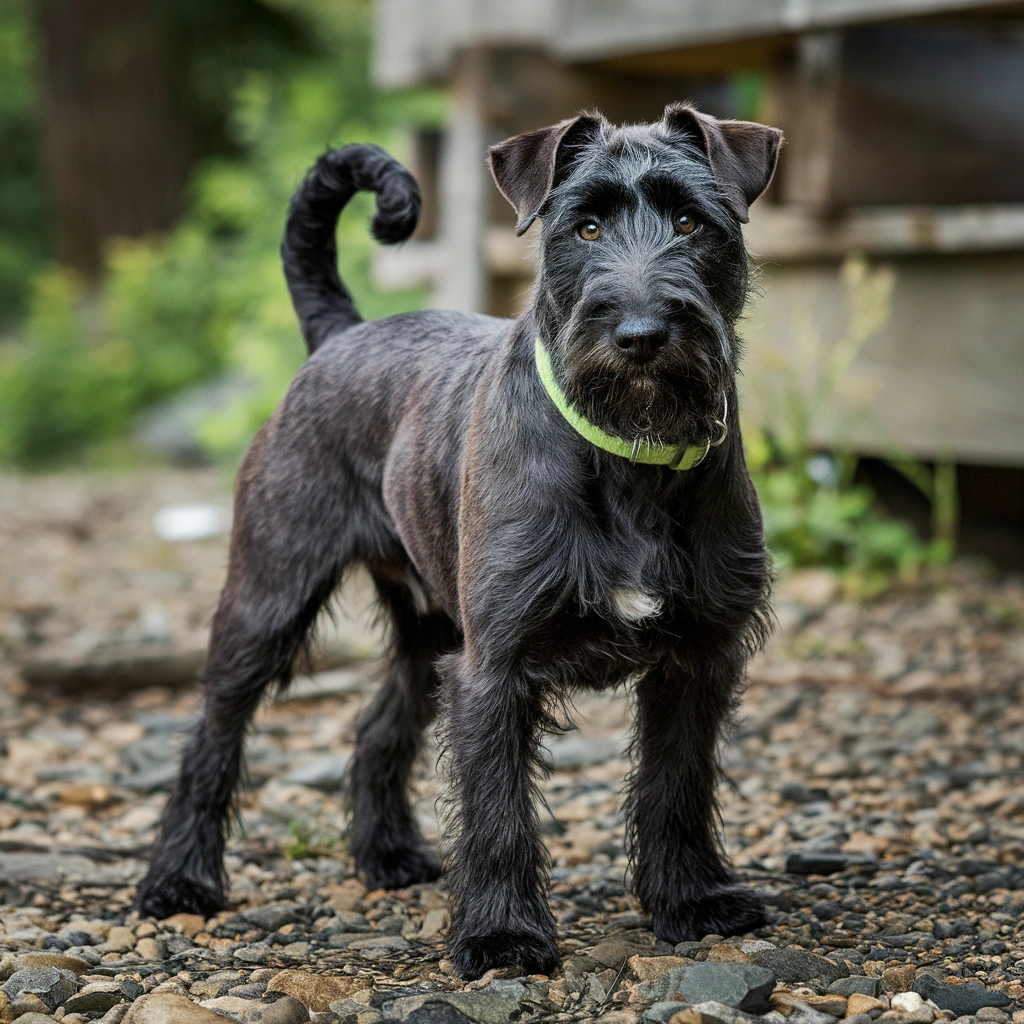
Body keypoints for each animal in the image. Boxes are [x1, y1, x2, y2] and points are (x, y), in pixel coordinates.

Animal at [136, 103, 782, 974]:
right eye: (583, 227)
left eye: (691, 222)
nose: (642, 334)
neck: (629, 456)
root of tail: (341, 334)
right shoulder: (494, 668)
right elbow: (500, 811)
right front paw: (504, 935)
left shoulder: (696, 660)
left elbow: (677, 787)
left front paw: (692, 900)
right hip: (268, 598)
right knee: (213, 734)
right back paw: (180, 880)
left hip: (427, 627)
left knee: (379, 725)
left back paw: (387, 856)